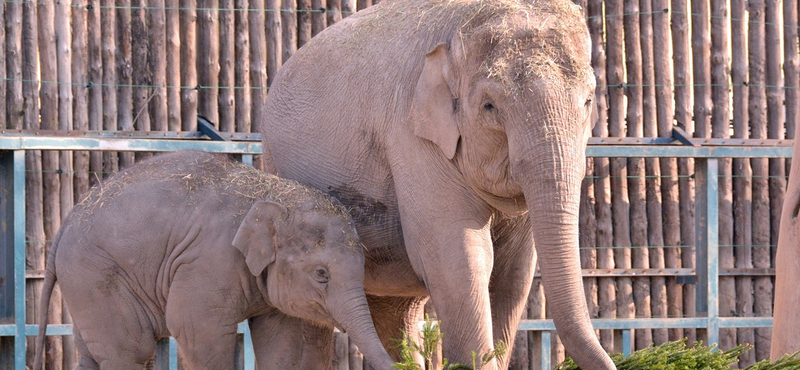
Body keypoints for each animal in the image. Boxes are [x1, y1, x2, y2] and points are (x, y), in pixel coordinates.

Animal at [34, 151, 396, 370]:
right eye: (321, 273)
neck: (270, 193)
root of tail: (69, 218)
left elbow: (282, 341)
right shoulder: (209, 261)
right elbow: (196, 330)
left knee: (91, 352)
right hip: (94, 275)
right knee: (129, 350)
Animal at [262, 0, 612, 368]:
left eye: (589, 101)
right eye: (489, 106)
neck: (459, 29)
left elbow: (513, 273)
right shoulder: (413, 138)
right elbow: (459, 259)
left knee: (399, 311)